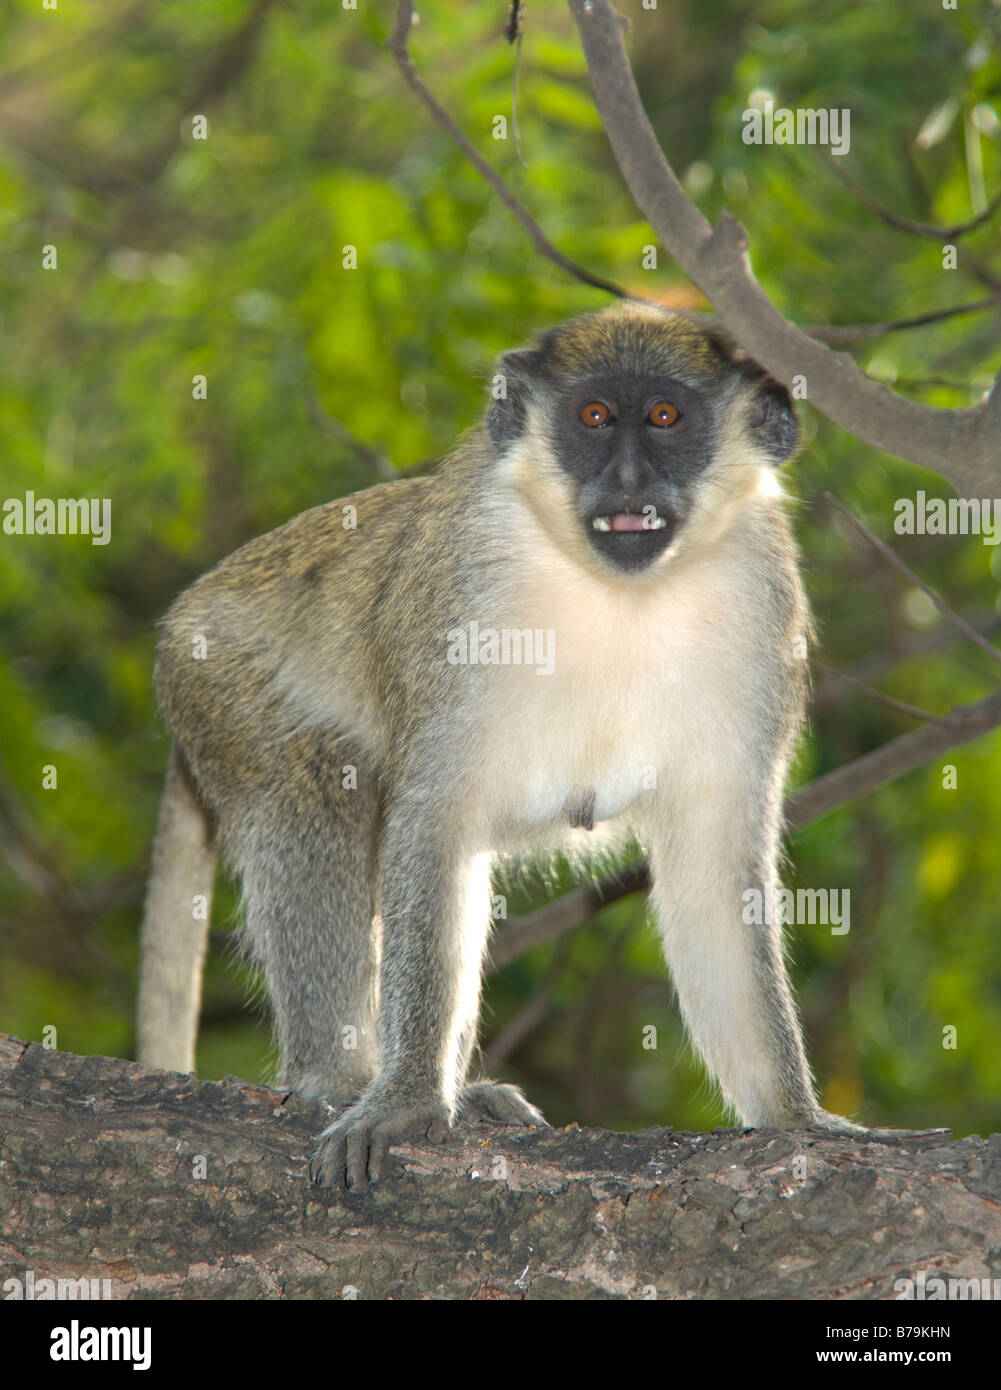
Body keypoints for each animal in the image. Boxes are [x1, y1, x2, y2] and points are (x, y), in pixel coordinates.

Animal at [140, 298, 867, 1189]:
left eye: (665, 418)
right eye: (594, 418)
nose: (628, 482)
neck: (617, 591)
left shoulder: (766, 600)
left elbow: (713, 867)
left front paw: (795, 1118)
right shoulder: (465, 580)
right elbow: (432, 823)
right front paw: (406, 1098)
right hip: (220, 683)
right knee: (313, 797)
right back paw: (342, 1076)